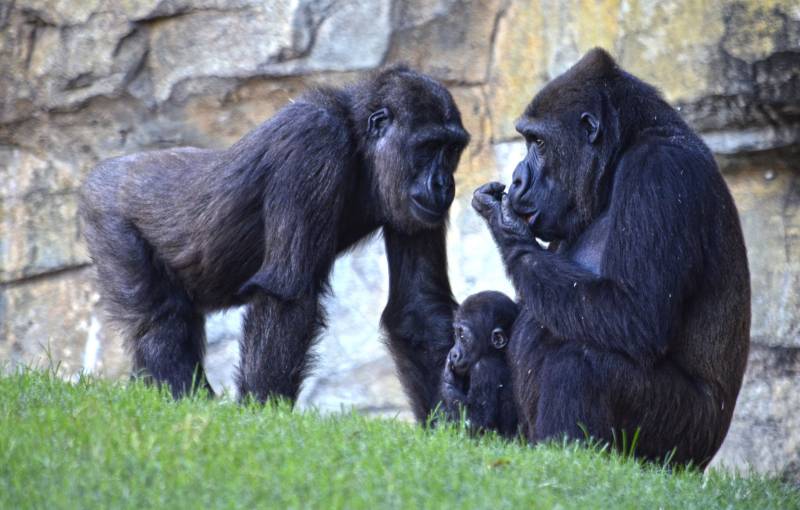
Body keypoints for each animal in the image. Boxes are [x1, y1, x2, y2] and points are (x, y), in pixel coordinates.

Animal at [79, 66, 468, 414]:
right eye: (428, 147)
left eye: (451, 150)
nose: (443, 184)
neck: (358, 141)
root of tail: (100, 172)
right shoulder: (314, 139)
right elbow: (287, 294)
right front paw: (262, 413)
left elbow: (418, 309)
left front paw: (453, 426)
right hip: (107, 216)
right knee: (159, 318)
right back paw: (184, 399)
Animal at [438, 290, 520, 438]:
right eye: (455, 335)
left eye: (463, 337)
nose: (453, 353)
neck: (495, 353)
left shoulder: (483, 369)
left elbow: (477, 421)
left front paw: (448, 380)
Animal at [476, 47, 752, 466]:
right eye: (526, 140)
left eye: (538, 143)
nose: (519, 178)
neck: (625, 146)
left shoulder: (660, 172)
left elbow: (634, 311)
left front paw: (505, 225)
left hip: (681, 451)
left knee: (580, 361)